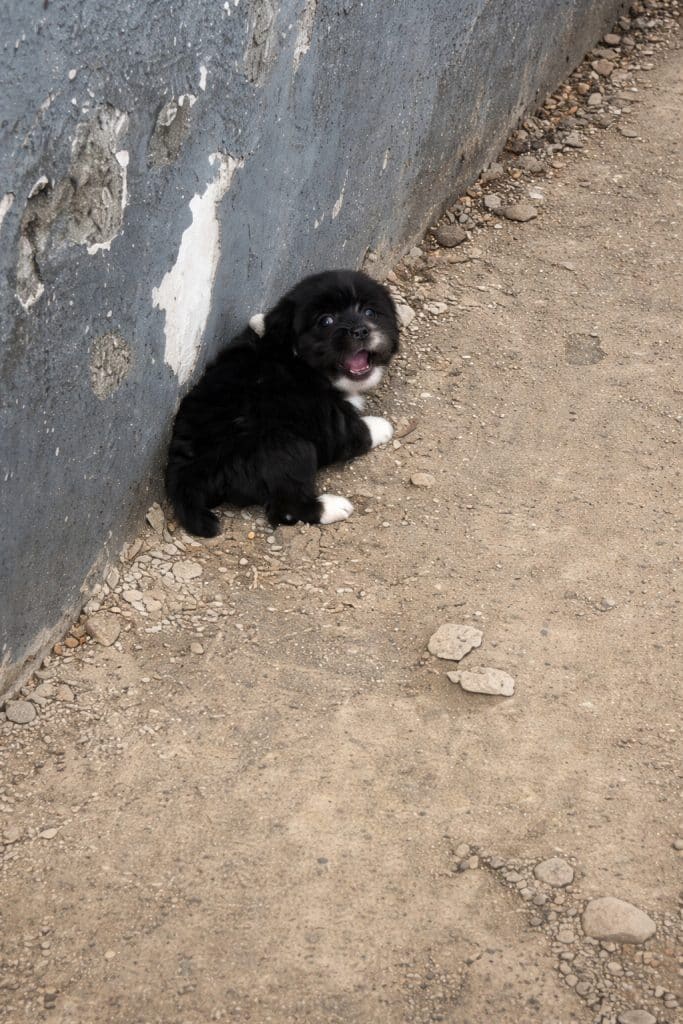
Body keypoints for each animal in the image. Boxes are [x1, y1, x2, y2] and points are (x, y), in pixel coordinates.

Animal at [165, 269, 399, 537]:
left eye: (370, 312)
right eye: (325, 321)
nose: (360, 330)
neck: (295, 359)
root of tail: (186, 472)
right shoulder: (322, 415)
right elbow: (351, 430)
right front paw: (381, 426)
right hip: (286, 447)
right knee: (285, 507)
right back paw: (331, 507)